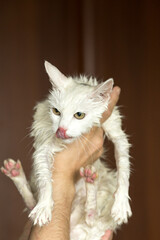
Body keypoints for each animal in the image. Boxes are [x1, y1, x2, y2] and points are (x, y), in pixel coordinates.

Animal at [0, 61, 131, 238]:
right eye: (56, 111)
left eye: (79, 115)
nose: (60, 130)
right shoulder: (43, 146)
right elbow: (45, 179)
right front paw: (44, 205)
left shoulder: (116, 131)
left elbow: (124, 168)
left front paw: (122, 203)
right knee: (31, 203)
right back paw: (15, 173)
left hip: (103, 194)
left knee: (92, 218)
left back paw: (90, 184)